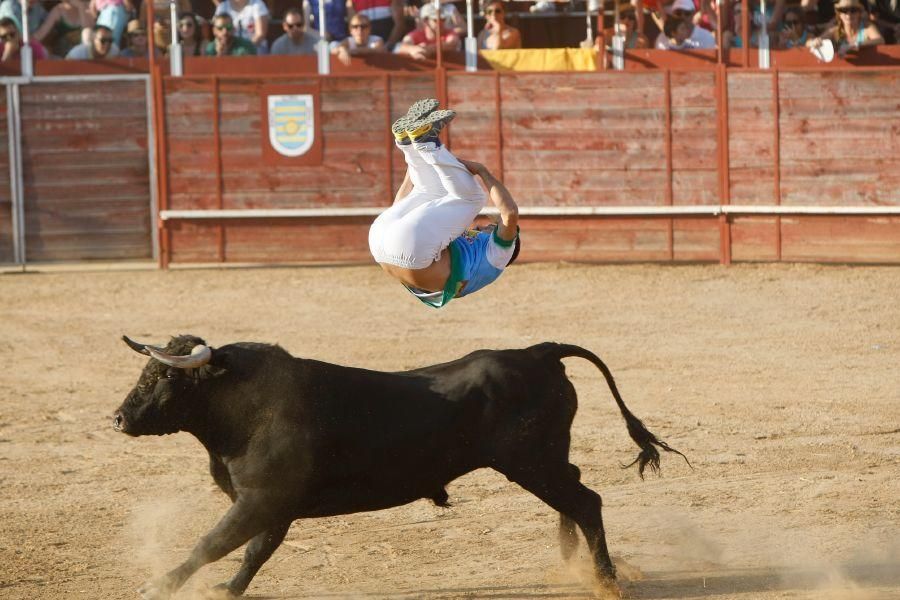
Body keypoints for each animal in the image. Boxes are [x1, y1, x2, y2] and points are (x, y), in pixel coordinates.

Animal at [116, 336, 684, 596]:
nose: (119, 418)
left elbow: (213, 543)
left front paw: (159, 585)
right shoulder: (273, 508)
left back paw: (606, 581)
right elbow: (255, 552)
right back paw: (571, 562)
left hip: (531, 463)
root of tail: (537, 352)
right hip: (545, 460)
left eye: (165, 378)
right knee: (577, 494)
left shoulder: (262, 500)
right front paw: (227, 590)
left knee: (587, 501)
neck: (244, 409)